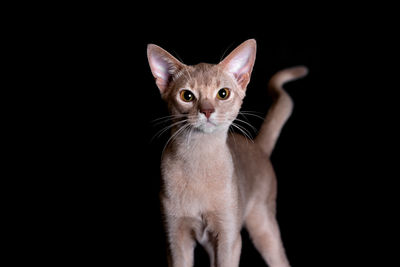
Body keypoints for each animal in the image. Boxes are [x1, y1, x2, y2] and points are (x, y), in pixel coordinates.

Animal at [148, 38, 308, 267]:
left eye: (223, 93)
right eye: (187, 96)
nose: (206, 110)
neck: (199, 163)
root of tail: (257, 146)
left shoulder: (229, 238)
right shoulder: (175, 239)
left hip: (263, 225)